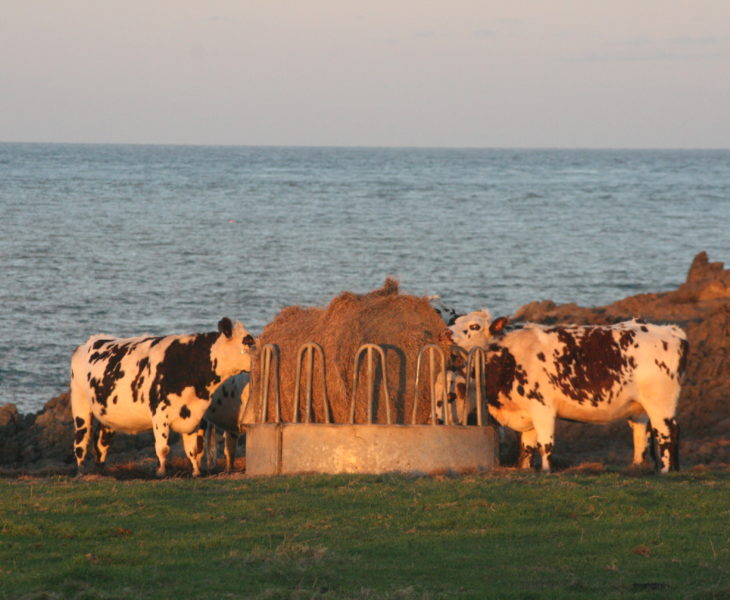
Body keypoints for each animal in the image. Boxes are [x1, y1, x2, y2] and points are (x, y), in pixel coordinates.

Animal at [69, 316, 256, 476]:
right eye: (248, 341)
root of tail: (90, 341)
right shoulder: (159, 413)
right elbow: (163, 448)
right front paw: (160, 472)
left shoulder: (193, 415)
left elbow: (193, 449)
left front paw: (196, 472)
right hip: (80, 404)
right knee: (80, 441)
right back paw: (81, 472)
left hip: (109, 411)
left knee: (101, 441)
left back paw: (101, 472)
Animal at [444, 312, 688, 472]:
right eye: (453, 321)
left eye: (474, 326)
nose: (446, 333)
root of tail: (672, 331)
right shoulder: (525, 413)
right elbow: (526, 447)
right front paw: (525, 470)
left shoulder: (542, 408)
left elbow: (545, 444)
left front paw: (546, 472)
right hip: (640, 408)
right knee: (641, 435)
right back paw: (638, 467)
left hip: (660, 403)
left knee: (667, 433)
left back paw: (666, 471)